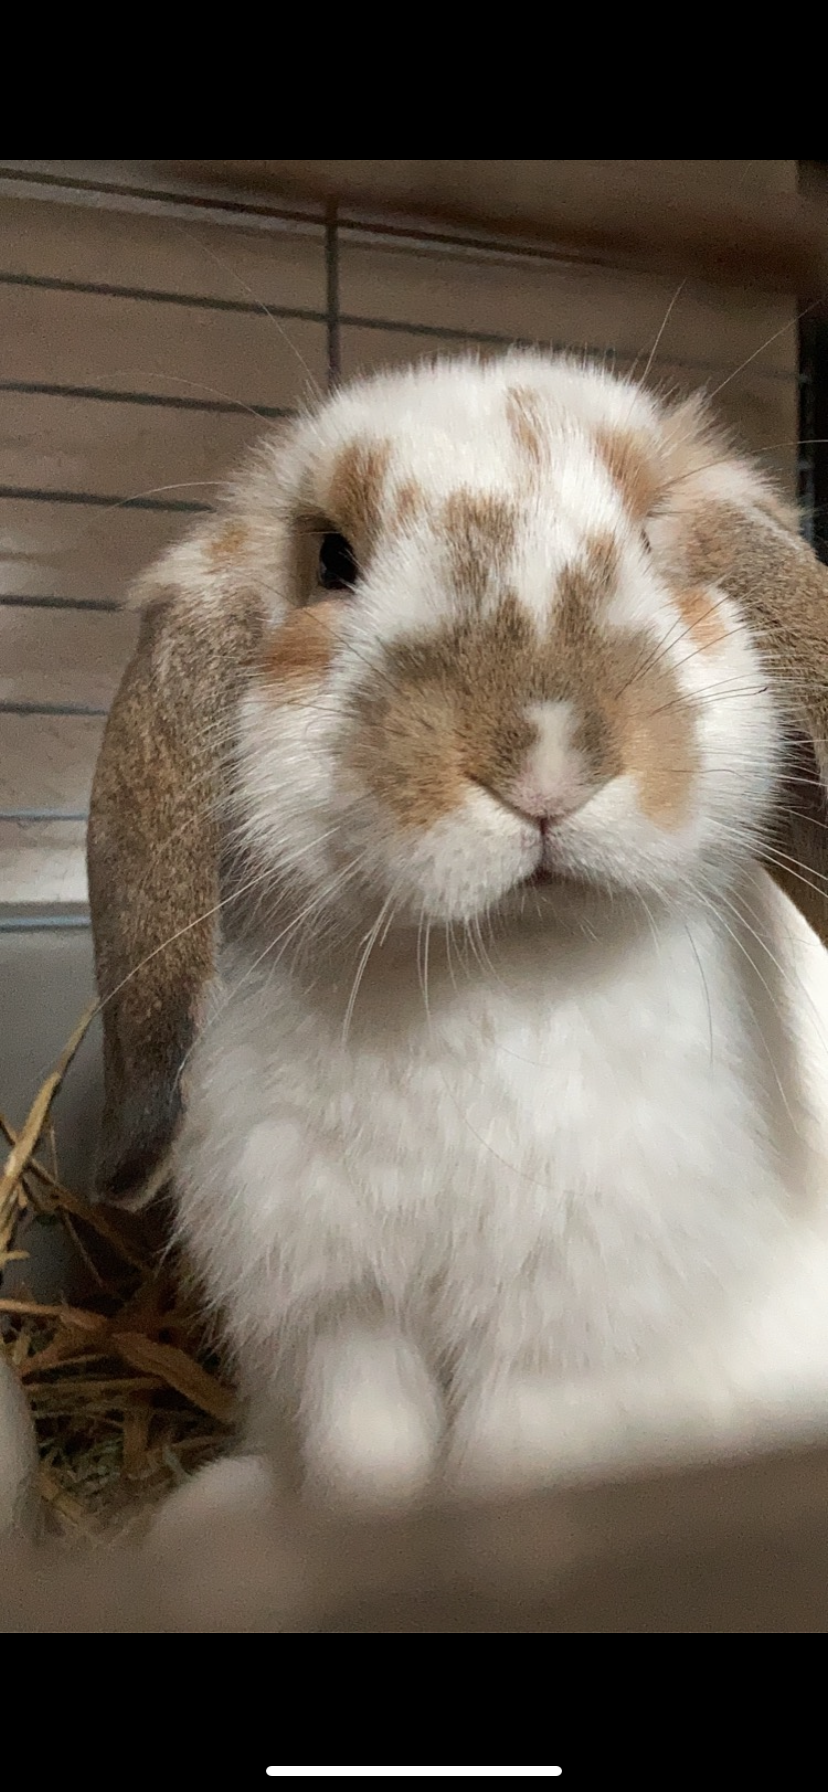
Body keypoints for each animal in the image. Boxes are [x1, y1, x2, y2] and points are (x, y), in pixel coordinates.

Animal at [87, 349, 828, 1511]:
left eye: (652, 536)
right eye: (332, 560)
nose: (548, 757)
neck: (491, 973)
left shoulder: (560, 1346)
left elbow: (508, 1470)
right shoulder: (343, 1323)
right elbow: (365, 1471)